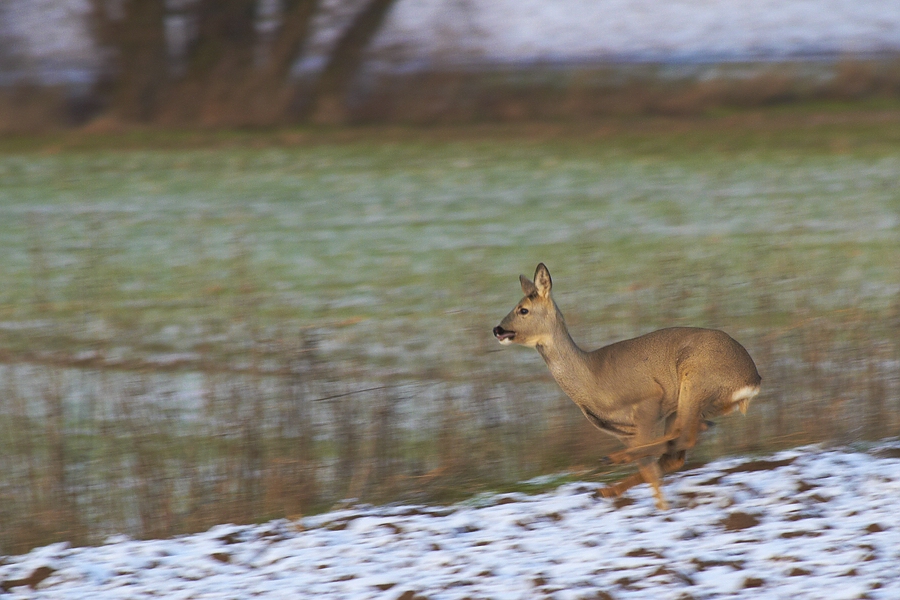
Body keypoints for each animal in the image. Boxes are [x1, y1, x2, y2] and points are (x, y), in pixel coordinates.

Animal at [492, 262, 760, 506]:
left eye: (523, 310)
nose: (498, 329)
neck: (590, 378)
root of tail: (752, 379)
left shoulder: (648, 400)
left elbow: (652, 467)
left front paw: (663, 511)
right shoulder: (623, 430)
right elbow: (650, 469)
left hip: (694, 380)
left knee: (684, 436)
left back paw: (612, 462)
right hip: (685, 402)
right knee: (675, 449)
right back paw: (605, 489)